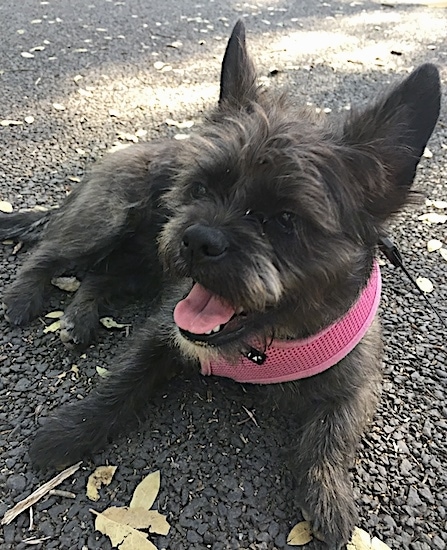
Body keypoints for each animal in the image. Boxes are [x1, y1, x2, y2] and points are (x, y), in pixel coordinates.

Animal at [0, 20, 440, 550]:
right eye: (202, 187)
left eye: (286, 219)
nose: (197, 238)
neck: (269, 344)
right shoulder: (163, 331)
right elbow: (121, 379)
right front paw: (69, 430)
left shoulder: (357, 382)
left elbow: (333, 434)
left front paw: (329, 496)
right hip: (105, 218)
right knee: (48, 254)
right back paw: (23, 297)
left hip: (143, 263)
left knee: (99, 278)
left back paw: (79, 317)